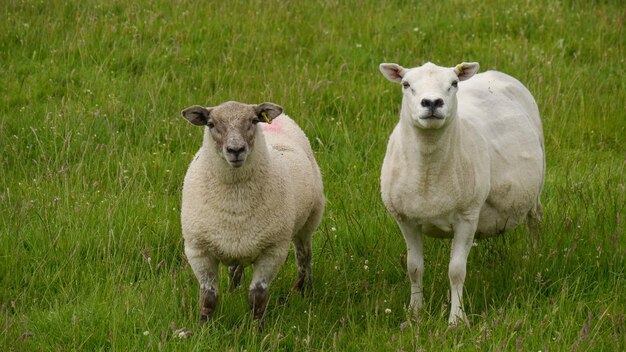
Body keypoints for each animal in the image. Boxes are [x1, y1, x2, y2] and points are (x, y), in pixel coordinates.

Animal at [179, 100, 324, 326]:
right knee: (235, 269)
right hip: (237, 243)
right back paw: (233, 291)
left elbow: (258, 296)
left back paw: (304, 291)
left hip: (309, 221)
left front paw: (257, 328)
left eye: (254, 121)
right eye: (211, 124)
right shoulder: (198, 249)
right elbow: (208, 296)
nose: (236, 150)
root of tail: (282, 119)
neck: (235, 203)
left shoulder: (272, 251)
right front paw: (203, 327)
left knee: (304, 257)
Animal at [378, 61, 544, 324]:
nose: (432, 102)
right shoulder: (405, 220)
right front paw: (415, 314)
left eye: (454, 83)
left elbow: (456, 271)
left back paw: (534, 256)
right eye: (406, 84)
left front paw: (456, 320)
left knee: (535, 220)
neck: (428, 173)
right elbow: (414, 268)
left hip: (536, 187)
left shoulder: (467, 216)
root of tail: (494, 73)